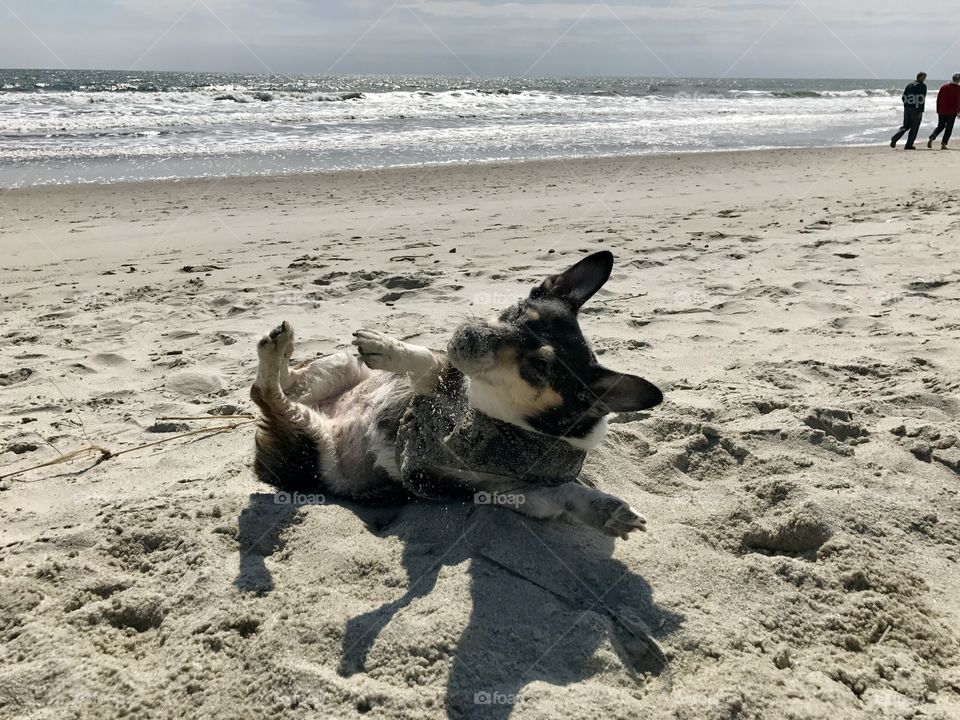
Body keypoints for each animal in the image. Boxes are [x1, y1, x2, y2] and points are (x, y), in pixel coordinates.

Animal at [251, 250, 664, 536]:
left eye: (538, 367)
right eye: (515, 314)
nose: (469, 333)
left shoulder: (508, 490)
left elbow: (566, 493)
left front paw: (607, 510)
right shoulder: (440, 378)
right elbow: (422, 357)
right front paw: (386, 346)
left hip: (308, 435)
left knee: (266, 392)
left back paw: (277, 352)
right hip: (339, 367)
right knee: (277, 386)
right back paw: (281, 348)